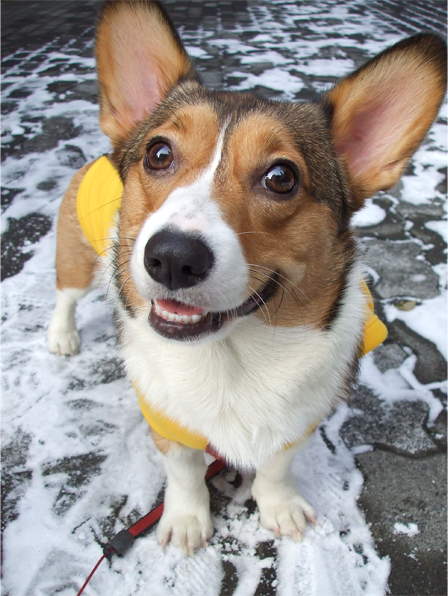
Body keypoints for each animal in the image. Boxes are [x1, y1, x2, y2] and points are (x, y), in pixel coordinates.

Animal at [47, 0, 446, 553]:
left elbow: (276, 467)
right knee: (66, 293)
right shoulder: (166, 419)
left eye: (281, 177)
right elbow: (185, 470)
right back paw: (62, 336)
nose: (172, 257)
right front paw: (187, 521)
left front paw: (280, 510)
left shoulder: (298, 418)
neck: (233, 356)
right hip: (80, 258)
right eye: (158, 153)